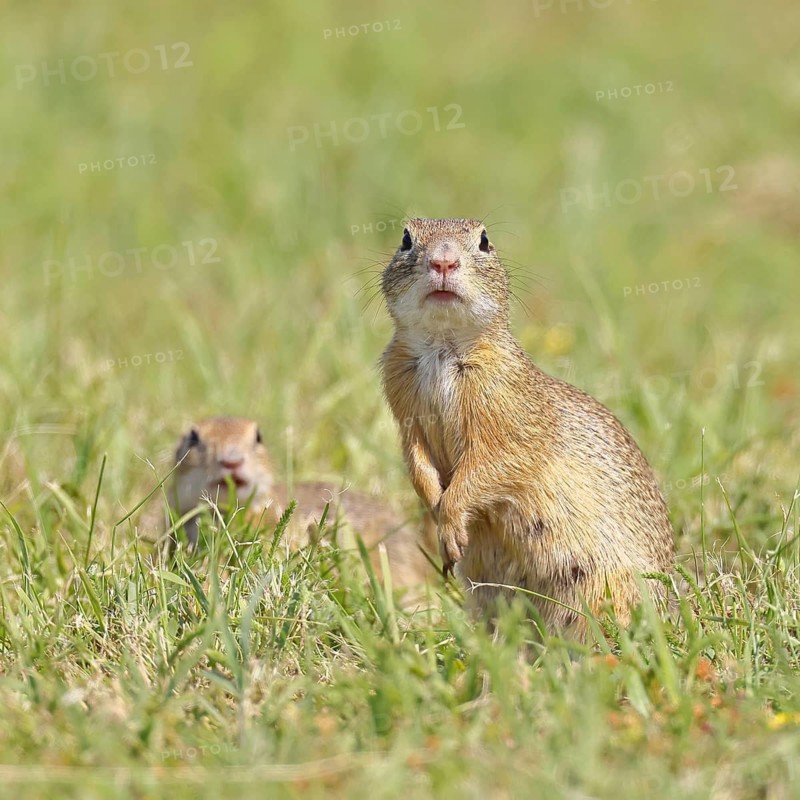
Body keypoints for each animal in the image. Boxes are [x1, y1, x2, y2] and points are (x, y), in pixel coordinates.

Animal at [379, 218, 673, 635]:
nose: (443, 262)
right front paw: (437, 515)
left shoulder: (510, 421)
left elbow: (489, 469)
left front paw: (450, 519)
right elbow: (417, 464)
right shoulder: (406, 415)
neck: (441, 349)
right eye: (406, 238)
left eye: (484, 240)